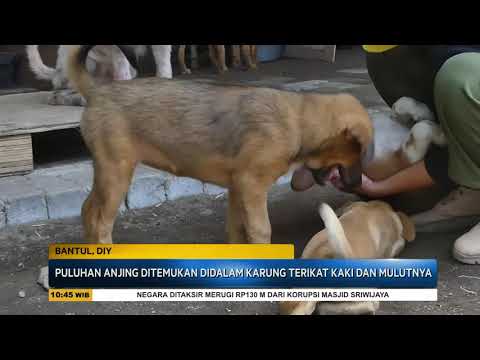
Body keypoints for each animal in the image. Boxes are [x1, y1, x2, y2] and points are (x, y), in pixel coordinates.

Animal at [66, 45, 376, 245]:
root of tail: (97, 90)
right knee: (100, 221)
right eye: (359, 152)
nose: (357, 184)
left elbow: (237, 230)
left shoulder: (237, 188)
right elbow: (262, 230)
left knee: (87, 210)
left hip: (106, 172)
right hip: (116, 172)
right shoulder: (251, 186)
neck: (299, 122)